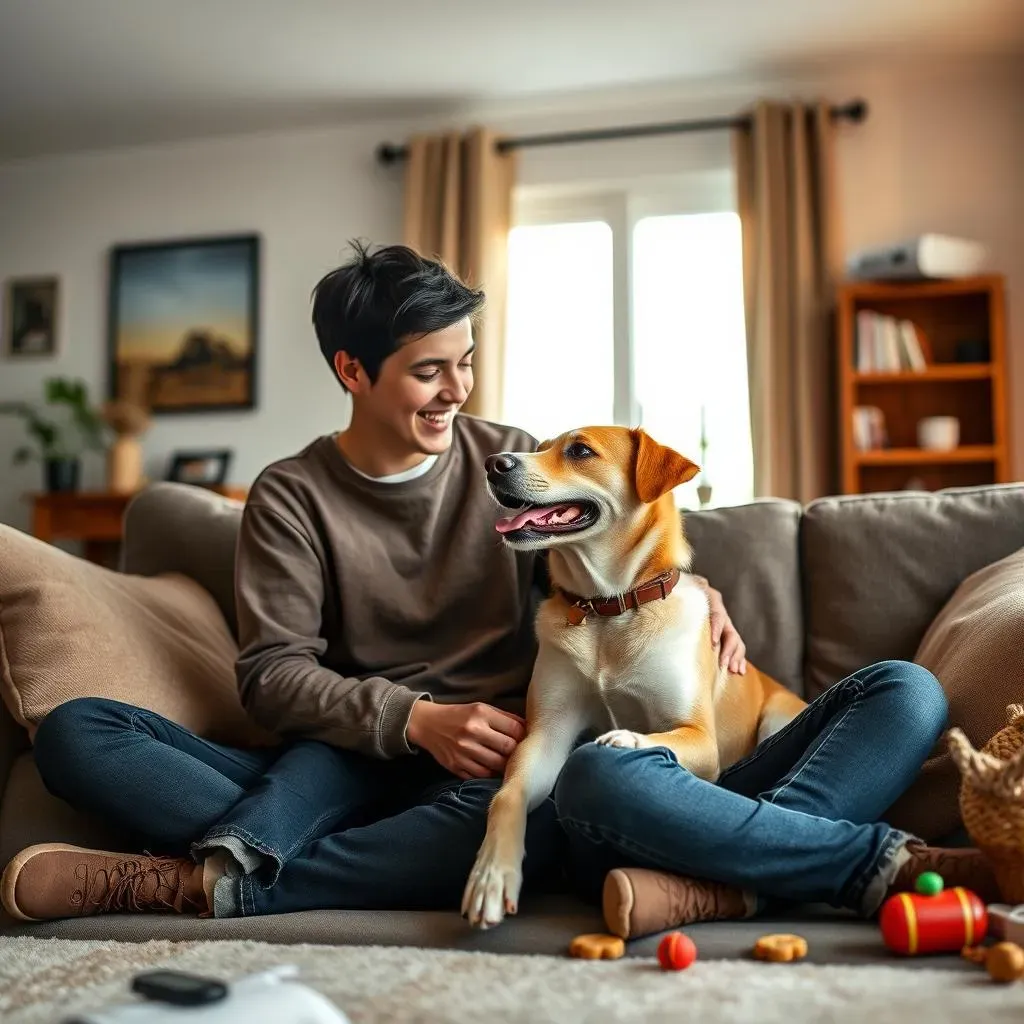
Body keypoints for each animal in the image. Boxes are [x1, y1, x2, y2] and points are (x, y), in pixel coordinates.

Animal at [462, 423, 806, 929]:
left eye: (579, 451)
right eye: (541, 447)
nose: (494, 463)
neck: (609, 610)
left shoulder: (700, 738)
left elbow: (657, 736)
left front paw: (624, 739)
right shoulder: (545, 735)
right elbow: (506, 798)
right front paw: (490, 875)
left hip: (776, 717)